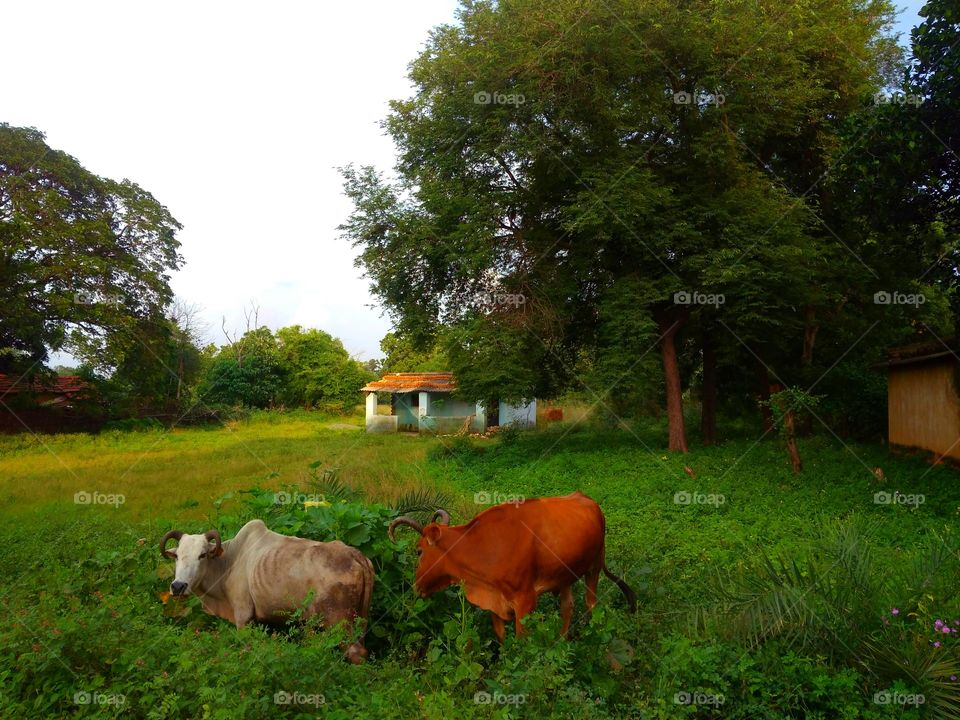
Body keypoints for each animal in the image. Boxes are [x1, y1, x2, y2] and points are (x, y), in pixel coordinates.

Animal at [160, 519, 374, 664]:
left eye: (202, 555)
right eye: (177, 556)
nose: (178, 586)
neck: (229, 562)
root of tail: (355, 556)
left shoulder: (243, 616)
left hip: (339, 622)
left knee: (355, 653)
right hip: (360, 620)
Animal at [388, 491, 636, 642]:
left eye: (419, 551)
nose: (416, 587)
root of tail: (587, 499)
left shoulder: (525, 600)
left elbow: (521, 640)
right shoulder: (494, 601)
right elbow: (502, 638)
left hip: (594, 566)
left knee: (591, 603)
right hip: (564, 575)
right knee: (568, 606)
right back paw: (560, 640)